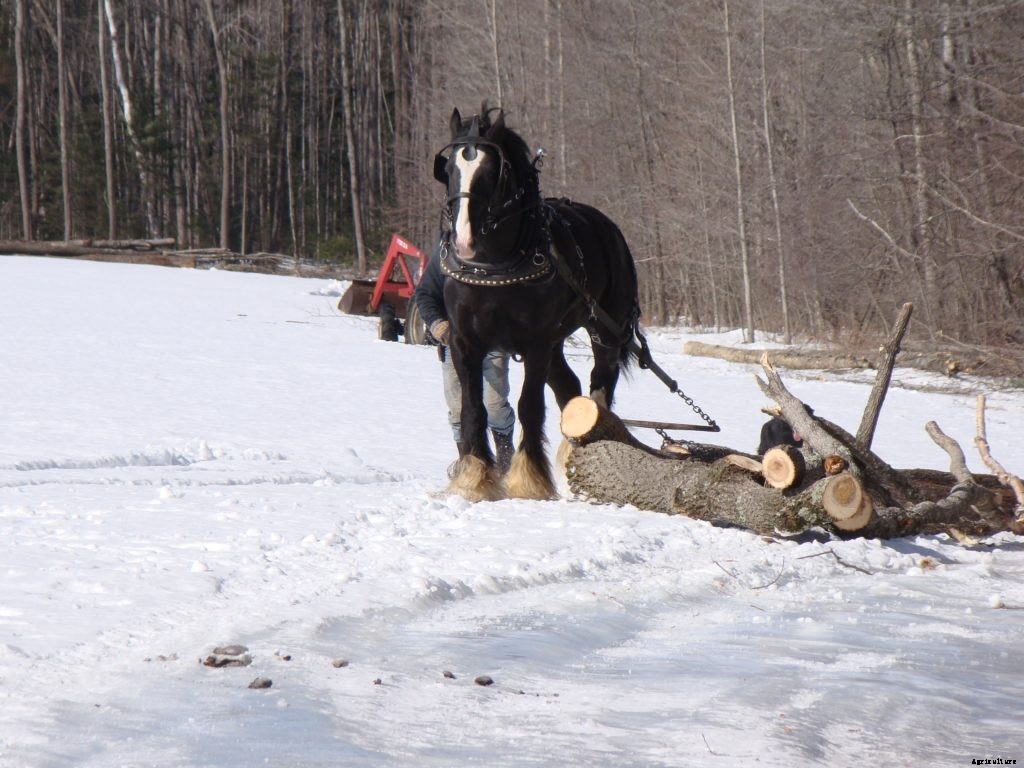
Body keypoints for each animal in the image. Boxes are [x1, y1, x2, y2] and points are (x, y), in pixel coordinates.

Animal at [433, 104, 640, 502]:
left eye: (491, 172)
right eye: (448, 169)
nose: (463, 240)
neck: (494, 265)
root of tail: (608, 227)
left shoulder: (535, 344)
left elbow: (528, 407)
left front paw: (528, 480)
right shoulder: (465, 342)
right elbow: (473, 409)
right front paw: (474, 478)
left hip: (605, 329)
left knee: (600, 383)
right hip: (557, 342)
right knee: (568, 387)